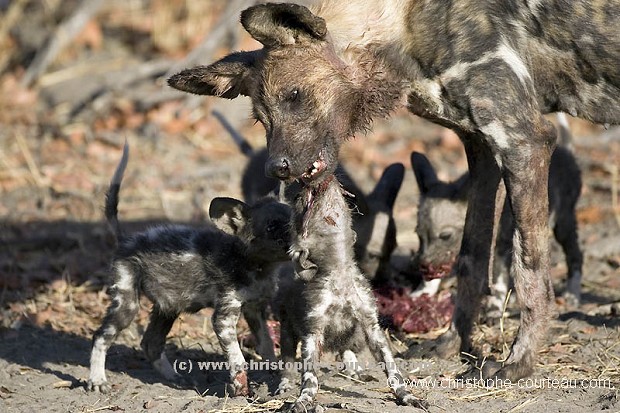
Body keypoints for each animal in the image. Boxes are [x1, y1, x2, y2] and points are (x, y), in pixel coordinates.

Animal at [86, 142, 292, 396]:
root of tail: (126, 240)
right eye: (272, 227)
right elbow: (238, 359)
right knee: (100, 337)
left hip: (167, 307)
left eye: (293, 218)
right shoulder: (224, 316)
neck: (257, 266)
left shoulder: (256, 309)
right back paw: (97, 379)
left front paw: (273, 374)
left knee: (150, 344)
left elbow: (267, 346)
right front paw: (240, 388)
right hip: (127, 303)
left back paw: (176, 379)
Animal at [274, 175, 426, 410]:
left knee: (347, 350)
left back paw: (356, 370)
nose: (300, 189)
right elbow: (309, 378)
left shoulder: (371, 326)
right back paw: (284, 385)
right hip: (287, 330)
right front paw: (302, 400)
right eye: (300, 202)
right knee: (288, 362)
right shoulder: (312, 333)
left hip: (357, 335)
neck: (340, 274)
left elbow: (393, 370)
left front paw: (406, 396)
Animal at [412, 112, 580, 312]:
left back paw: (572, 292)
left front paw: (495, 307)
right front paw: (423, 291)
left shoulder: (500, 248)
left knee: (575, 255)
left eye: (445, 236)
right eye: (418, 235)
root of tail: (566, 152)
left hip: (563, 222)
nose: (422, 265)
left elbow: (498, 279)